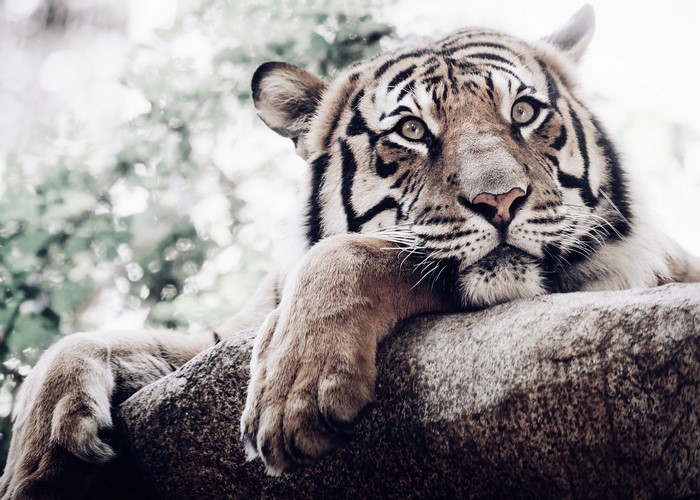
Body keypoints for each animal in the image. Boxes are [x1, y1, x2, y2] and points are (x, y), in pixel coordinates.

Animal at [2, 4, 699, 497]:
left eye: (524, 113)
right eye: (412, 130)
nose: (500, 201)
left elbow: (354, 252)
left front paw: (293, 395)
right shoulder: (221, 337)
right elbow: (88, 343)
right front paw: (38, 462)